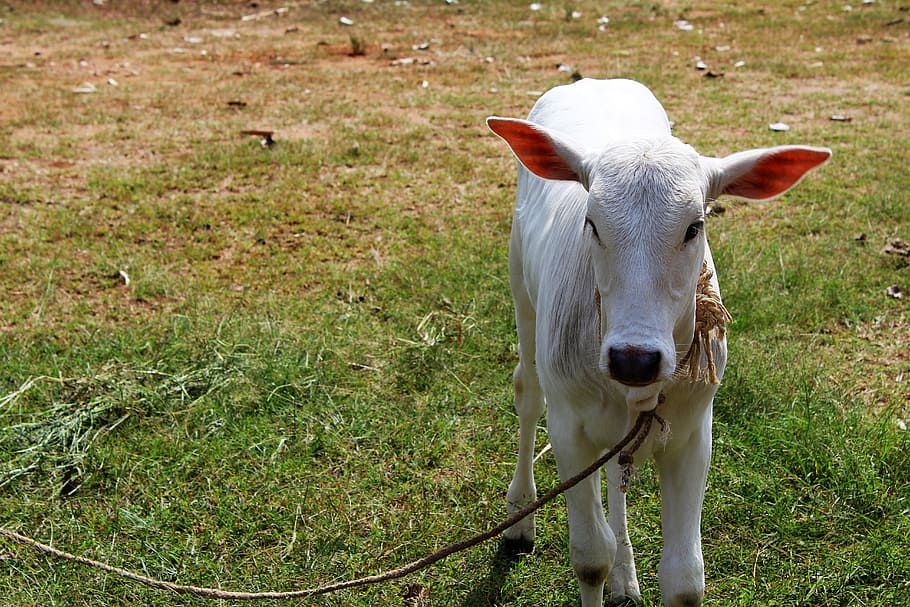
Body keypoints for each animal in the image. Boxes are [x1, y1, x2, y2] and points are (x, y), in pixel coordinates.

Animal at [486, 78, 830, 607]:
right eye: (592, 223)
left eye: (695, 226)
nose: (634, 359)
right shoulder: (568, 427)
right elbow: (589, 558)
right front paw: (597, 564)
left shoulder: (694, 432)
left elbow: (685, 579)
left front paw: (633, 572)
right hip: (521, 291)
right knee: (527, 395)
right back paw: (519, 515)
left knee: (616, 470)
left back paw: (626, 575)